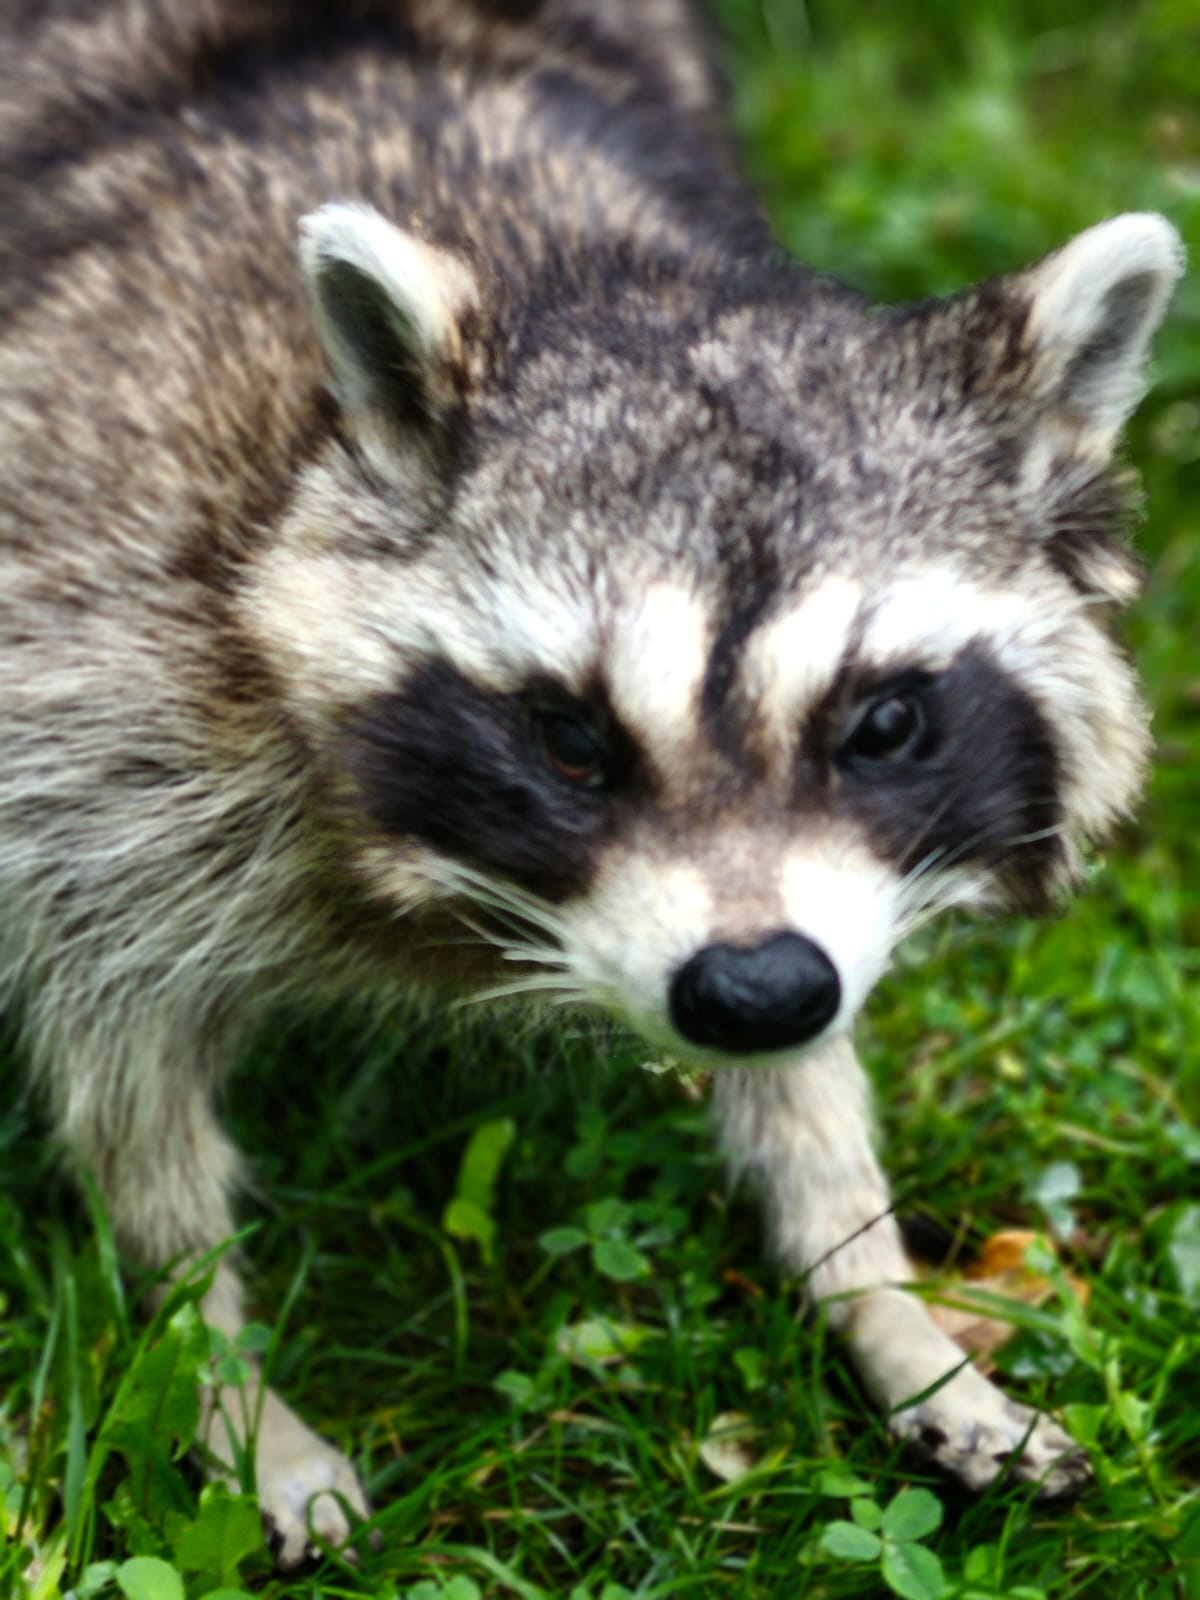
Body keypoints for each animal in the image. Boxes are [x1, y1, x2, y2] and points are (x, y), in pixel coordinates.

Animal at [0, 0, 1184, 1567]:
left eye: (883, 724)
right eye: (571, 739)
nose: (752, 991)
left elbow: (810, 1059)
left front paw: (871, 1275)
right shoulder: (94, 663)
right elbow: (127, 1080)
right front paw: (218, 1361)